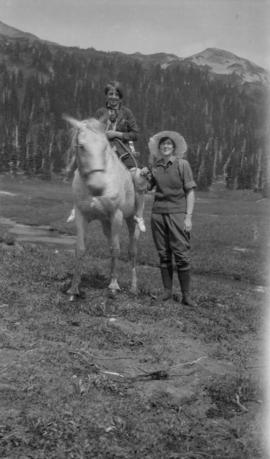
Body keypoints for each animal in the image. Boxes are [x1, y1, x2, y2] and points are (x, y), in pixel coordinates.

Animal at [63, 117, 141, 300]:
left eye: (105, 147)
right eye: (81, 146)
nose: (98, 186)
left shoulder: (116, 216)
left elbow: (116, 249)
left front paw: (113, 286)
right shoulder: (82, 215)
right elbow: (80, 249)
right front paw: (74, 289)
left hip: (130, 219)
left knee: (132, 251)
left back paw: (133, 288)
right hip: (106, 224)